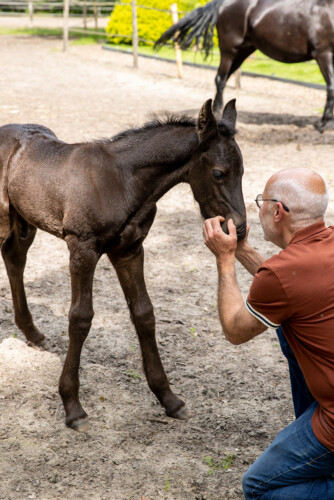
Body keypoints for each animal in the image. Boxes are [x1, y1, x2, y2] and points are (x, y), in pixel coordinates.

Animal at [0, 99, 245, 432]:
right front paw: (73, 407)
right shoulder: (82, 249)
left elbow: (144, 313)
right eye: (219, 173)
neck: (123, 182)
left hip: (25, 220)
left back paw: (32, 332)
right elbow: (80, 318)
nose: (241, 229)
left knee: (14, 257)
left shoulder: (129, 251)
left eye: (243, 171)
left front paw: (169, 399)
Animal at [155, 0, 334, 131]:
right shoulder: (323, 54)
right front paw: (326, 124)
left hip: (243, 51)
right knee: (220, 79)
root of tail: (222, 3)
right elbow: (331, 86)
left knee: (224, 78)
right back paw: (218, 113)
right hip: (229, 51)